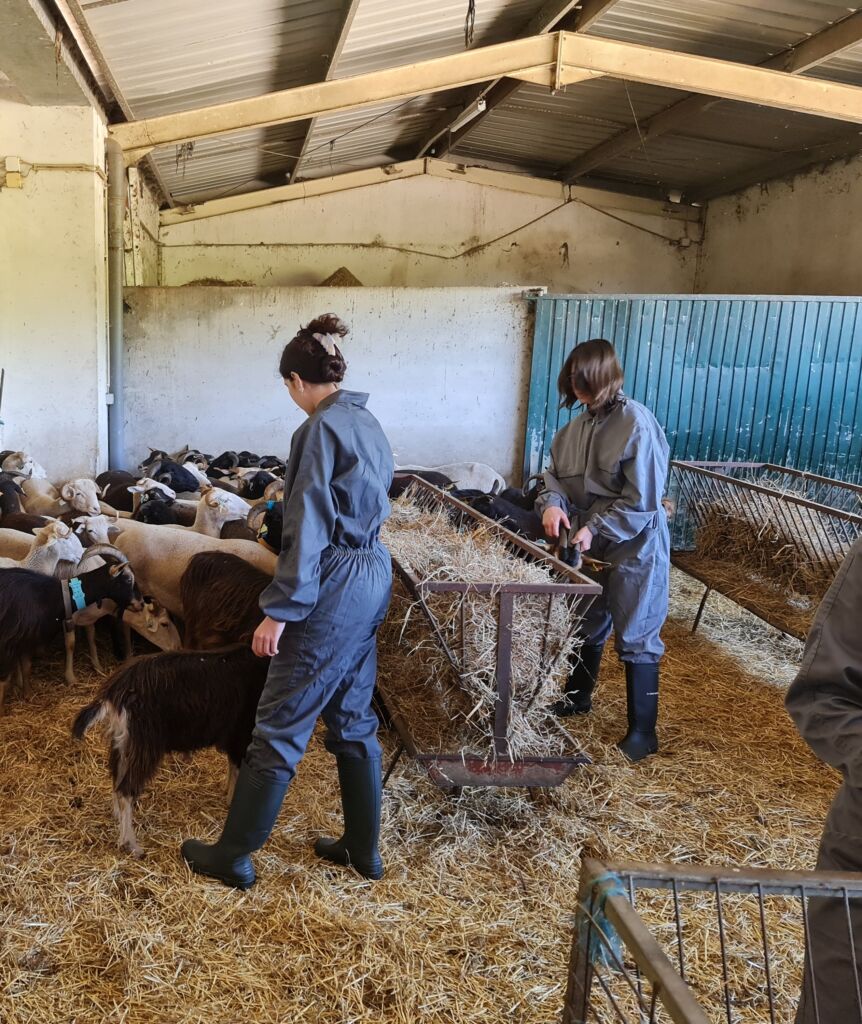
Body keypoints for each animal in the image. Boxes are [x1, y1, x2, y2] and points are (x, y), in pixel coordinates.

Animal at [0, 545, 140, 712]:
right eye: (128, 579)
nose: (141, 603)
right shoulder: (10, 641)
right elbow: (4, 680)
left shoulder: (26, 638)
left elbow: (26, 666)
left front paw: (26, 693)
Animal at [72, 645, 270, 856]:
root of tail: (114, 692)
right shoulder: (243, 735)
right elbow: (238, 770)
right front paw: (232, 801)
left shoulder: (234, 739)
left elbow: (233, 767)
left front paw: (227, 794)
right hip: (144, 745)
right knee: (126, 790)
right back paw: (132, 845)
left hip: (123, 744)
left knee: (117, 780)